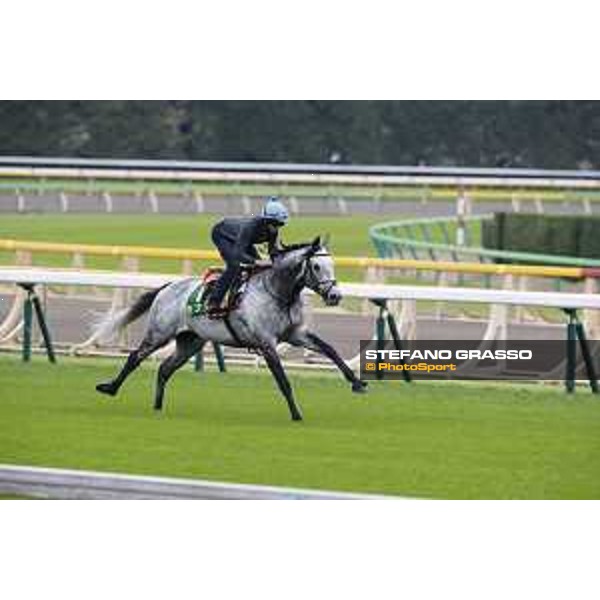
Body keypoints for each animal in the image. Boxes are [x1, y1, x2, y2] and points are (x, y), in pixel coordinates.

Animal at [95, 237, 366, 420]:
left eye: (332, 264)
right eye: (317, 267)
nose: (335, 296)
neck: (277, 292)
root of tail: (168, 286)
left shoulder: (295, 334)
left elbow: (329, 349)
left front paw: (357, 382)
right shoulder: (266, 343)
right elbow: (283, 380)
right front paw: (296, 414)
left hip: (190, 342)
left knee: (164, 369)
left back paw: (158, 406)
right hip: (159, 333)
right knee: (135, 357)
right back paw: (110, 388)